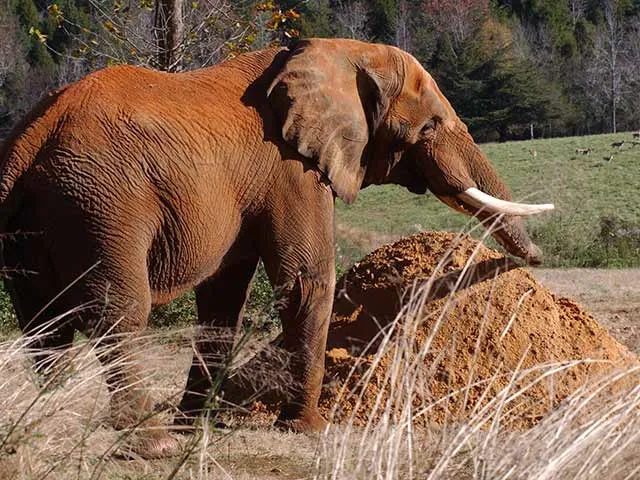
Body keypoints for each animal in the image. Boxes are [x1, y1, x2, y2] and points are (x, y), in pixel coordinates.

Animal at [0, 38, 553, 457]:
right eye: (431, 125)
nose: (534, 261)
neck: (340, 53)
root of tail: (28, 144)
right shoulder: (291, 170)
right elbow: (307, 281)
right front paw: (310, 429)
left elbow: (224, 299)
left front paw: (195, 425)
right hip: (103, 205)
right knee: (119, 313)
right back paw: (151, 446)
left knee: (42, 323)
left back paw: (51, 421)